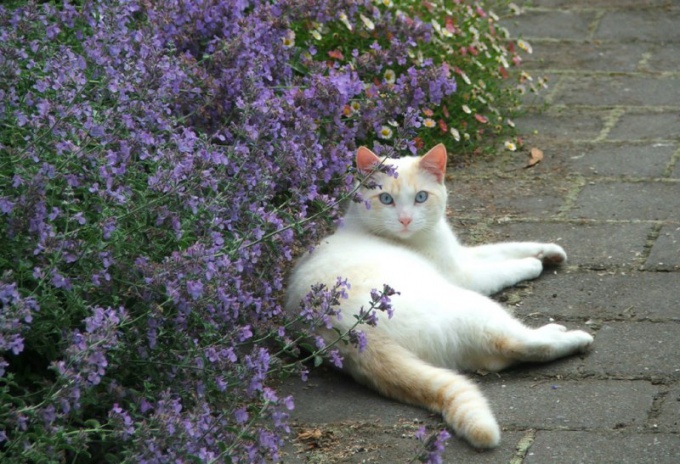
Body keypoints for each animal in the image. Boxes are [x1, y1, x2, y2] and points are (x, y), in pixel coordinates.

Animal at [284, 144, 592, 450]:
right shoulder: (463, 274)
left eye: (421, 197)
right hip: (472, 303)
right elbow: (503, 267)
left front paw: (549, 252)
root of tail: (353, 334)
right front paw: (533, 264)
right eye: (386, 199)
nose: (405, 220)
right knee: (518, 343)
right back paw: (569, 336)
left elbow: (504, 247)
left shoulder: (463, 255)